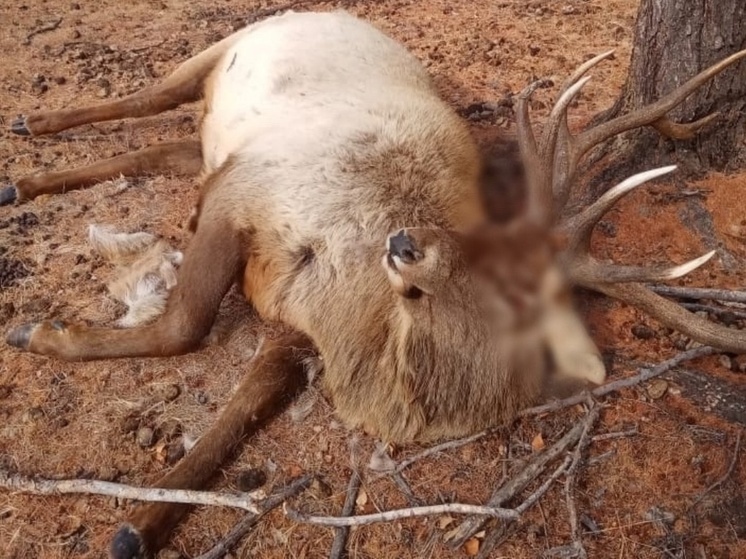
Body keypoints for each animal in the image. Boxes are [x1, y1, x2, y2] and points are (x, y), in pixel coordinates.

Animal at [4, 8, 744, 559]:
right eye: (476, 243)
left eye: (513, 288)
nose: (403, 241)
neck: (363, 330)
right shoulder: (250, 192)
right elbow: (184, 325)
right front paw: (38, 332)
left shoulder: (296, 324)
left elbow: (240, 409)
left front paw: (140, 526)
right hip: (226, 48)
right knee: (146, 96)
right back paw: (30, 135)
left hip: (212, 134)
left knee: (163, 146)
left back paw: (28, 178)